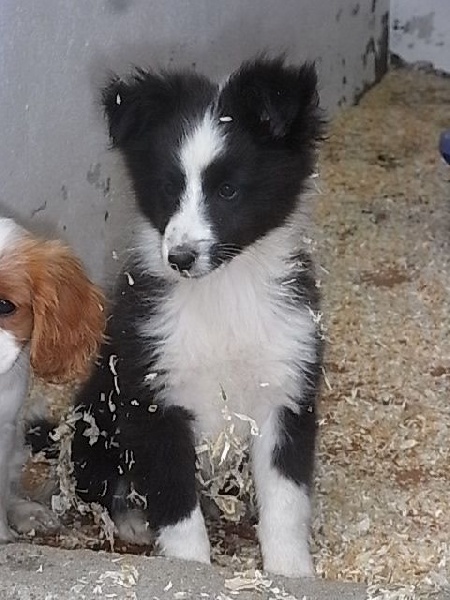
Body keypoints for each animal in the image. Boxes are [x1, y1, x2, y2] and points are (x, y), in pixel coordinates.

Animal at [70, 56, 325, 577]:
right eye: (168, 188)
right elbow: (175, 503)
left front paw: (292, 573)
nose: (180, 258)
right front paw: (189, 572)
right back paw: (130, 522)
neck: (222, 294)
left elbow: (286, 500)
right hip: (96, 415)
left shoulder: (286, 391)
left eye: (228, 190)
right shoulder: (157, 398)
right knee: (103, 487)